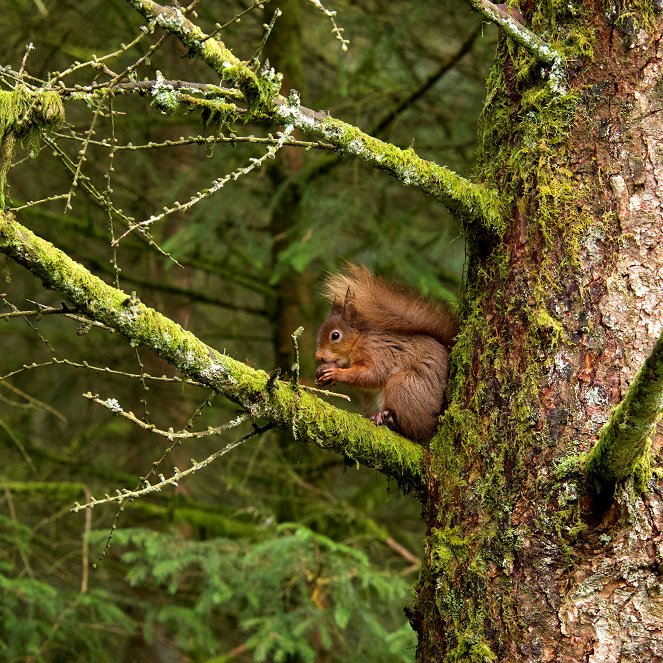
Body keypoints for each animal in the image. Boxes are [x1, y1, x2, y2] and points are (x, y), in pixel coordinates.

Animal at [316, 264, 456, 440]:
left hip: (404, 386)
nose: (318, 357)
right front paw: (323, 372)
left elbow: (373, 375)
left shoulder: (376, 352)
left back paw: (388, 418)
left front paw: (336, 373)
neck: (359, 340)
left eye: (335, 335)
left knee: (415, 430)